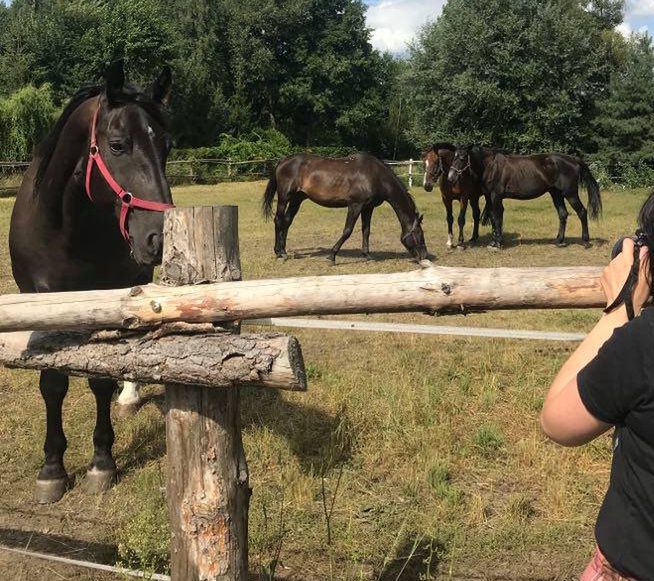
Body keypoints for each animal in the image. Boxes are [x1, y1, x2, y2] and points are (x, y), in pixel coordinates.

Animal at [10, 60, 174, 502]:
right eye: (117, 145)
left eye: (166, 147)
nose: (159, 236)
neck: (67, 229)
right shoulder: (42, 305)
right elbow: (53, 384)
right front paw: (52, 468)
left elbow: (100, 380)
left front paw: (102, 461)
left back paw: (129, 393)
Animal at [262, 153, 430, 264]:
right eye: (419, 234)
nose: (424, 256)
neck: (375, 176)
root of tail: (284, 161)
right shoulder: (355, 205)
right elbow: (347, 230)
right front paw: (332, 256)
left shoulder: (368, 207)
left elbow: (366, 230)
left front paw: (367, 256)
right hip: (284, 197)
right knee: (278, 221)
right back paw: (279, 253)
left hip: (297, 199)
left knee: (287, 221)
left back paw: (284, 251)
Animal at [452, 145, 604, 249]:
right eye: (453, 157)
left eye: (462, 158)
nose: (451, 177)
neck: (491, 166)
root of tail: (574, 160)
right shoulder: (490, 197)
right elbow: (494, 219)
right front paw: (494, 241)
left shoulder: (496, 196)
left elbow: (498, 217)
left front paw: (498, 243)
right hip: (556, 193)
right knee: (563, 214)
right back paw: (559, 241)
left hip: (570, 193)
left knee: (582, 212)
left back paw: (585, 242)